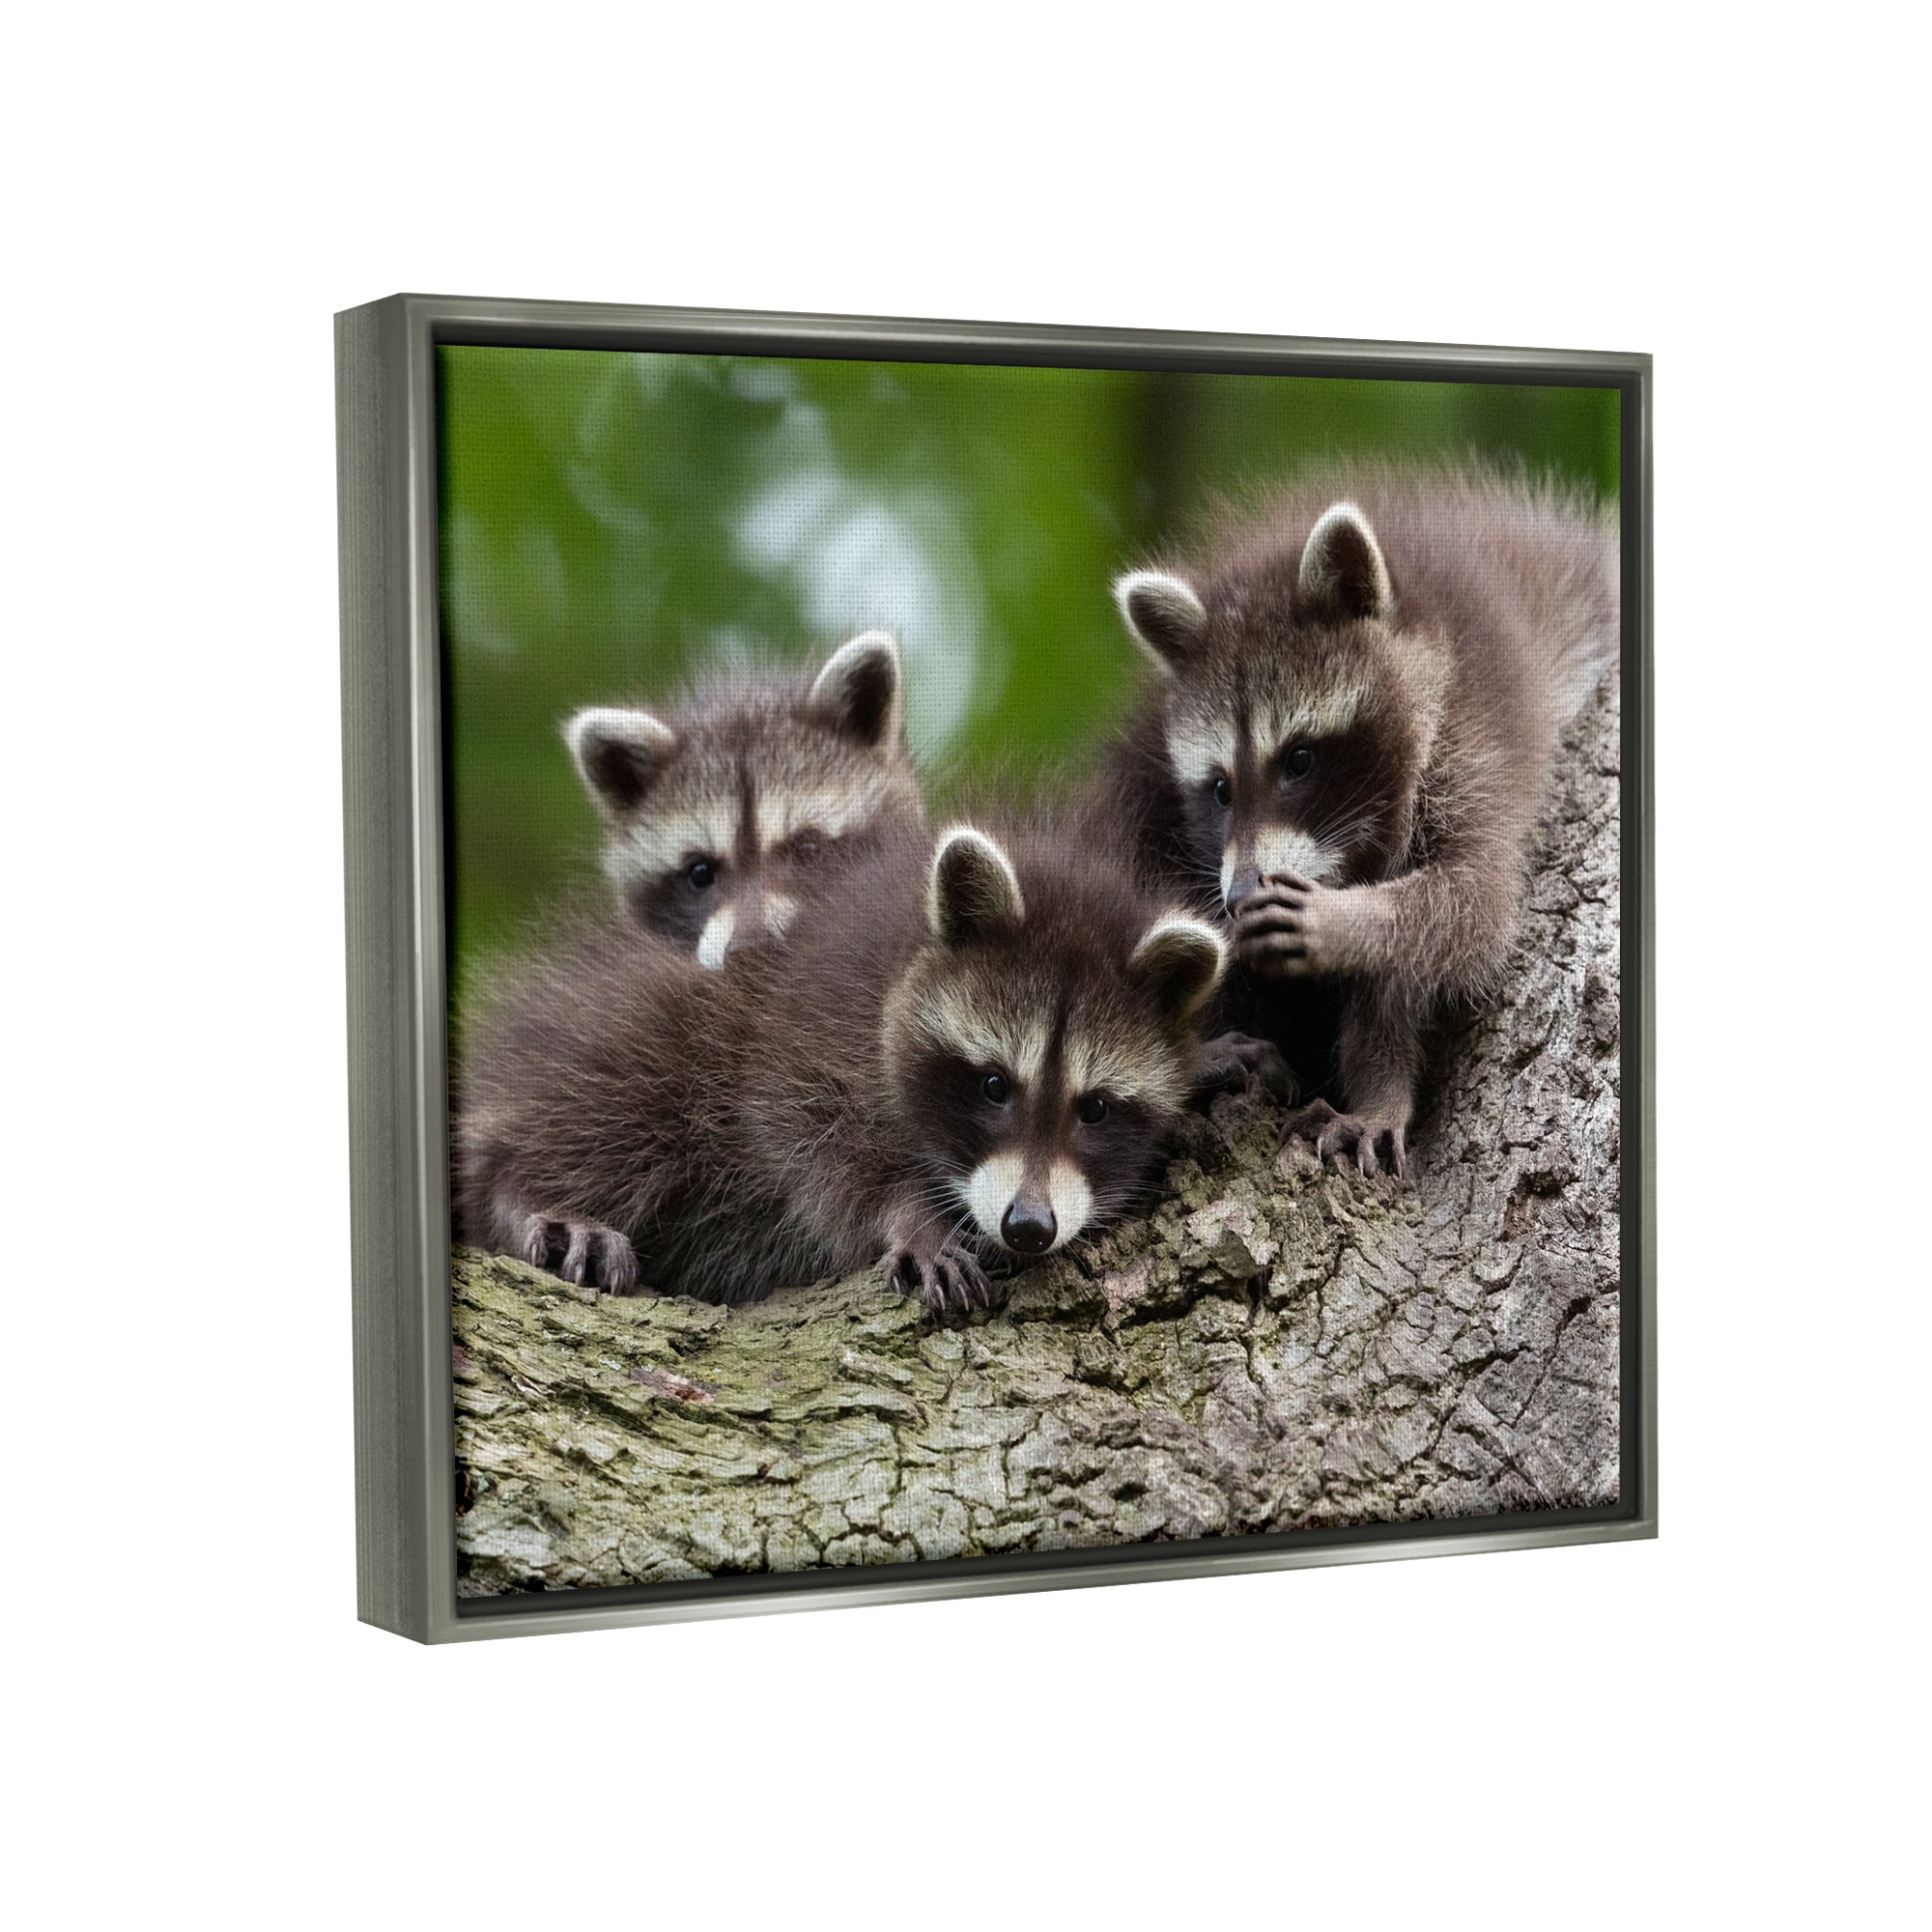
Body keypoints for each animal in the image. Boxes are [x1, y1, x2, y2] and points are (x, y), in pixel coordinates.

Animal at [454, 819, 1226, 1311]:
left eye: (1094, 1108)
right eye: (993, 1085)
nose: (1028, 1227)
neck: (905, 954)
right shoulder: (809, 1023)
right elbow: (812, 1143)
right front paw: (911, 1215)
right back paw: (522, 1190)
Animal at [1106, 463, 1618, 1177]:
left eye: (1299, 759)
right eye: (1220, 789)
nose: (1237, 896)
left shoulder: (1477, 738)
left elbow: (1470, 907)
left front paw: (1347, 922)